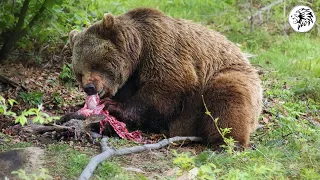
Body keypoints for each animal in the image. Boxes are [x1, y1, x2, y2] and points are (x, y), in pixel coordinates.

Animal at [68, 8, 262, 146]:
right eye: (79, 73)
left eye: (96, 64)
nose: (90, 87)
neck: (137, 53)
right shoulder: (129, 79)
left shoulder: (161, 49)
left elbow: (167, 85)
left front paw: (113, 106)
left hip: (230, 75)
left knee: (228, 95)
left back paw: (226, 142)